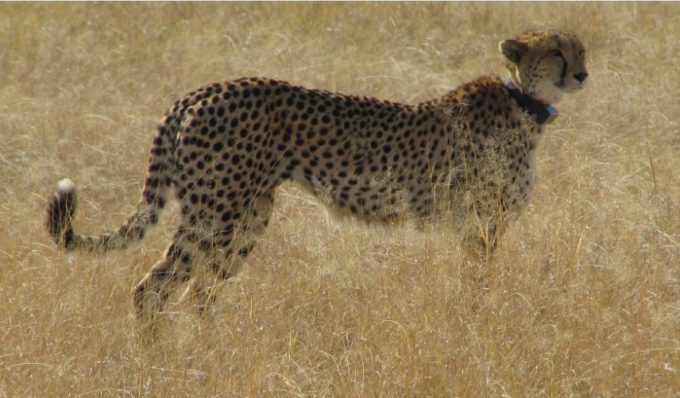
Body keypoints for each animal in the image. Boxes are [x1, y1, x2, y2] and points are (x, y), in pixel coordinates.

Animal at [47, 31, 588, 322]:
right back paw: (161, 362)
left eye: (580, 49)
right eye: (556, 52)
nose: (582, 74)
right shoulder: (480, 223)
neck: (526, 103)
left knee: (199, 292)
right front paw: (481, 315)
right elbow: (481, 281)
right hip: (217, 212)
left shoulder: (476, 224)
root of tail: (201, 91)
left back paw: (207, 352)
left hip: (249, 215)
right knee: (154, 288)